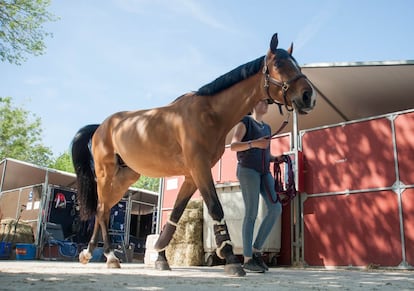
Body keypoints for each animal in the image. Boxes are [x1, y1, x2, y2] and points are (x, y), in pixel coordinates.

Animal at [72, 33, 316, 278]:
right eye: (279, 64)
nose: (308, 96)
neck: (209, 113)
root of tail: (101, 127)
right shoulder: (200, 168)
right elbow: (216, 208)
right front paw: (230, 258)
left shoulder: (191, 176)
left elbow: (175, 216)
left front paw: (161, 258)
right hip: (106, 174)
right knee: (102, 209)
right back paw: (109, 255)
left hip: (126, 177)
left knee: (104, 209)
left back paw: (91, 253)